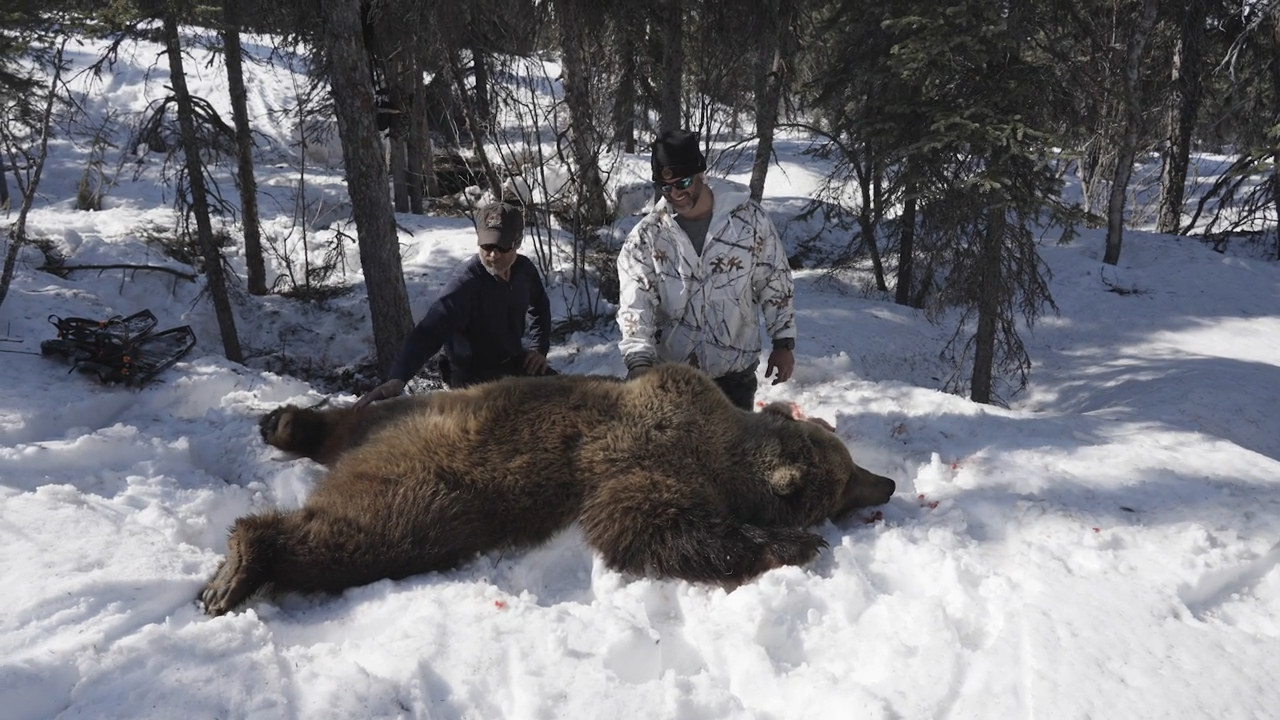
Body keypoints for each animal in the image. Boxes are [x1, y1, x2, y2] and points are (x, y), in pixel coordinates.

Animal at [199, 363, 896, 616]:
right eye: (843, 483)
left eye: (850, 465)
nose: (887, 482)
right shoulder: (641, 460)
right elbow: (645, 525)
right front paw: (795, 544)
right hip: (434, 487)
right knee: (367, 532)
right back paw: (236, 569)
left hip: (404, 417)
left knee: (350, 424)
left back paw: (283, 423)